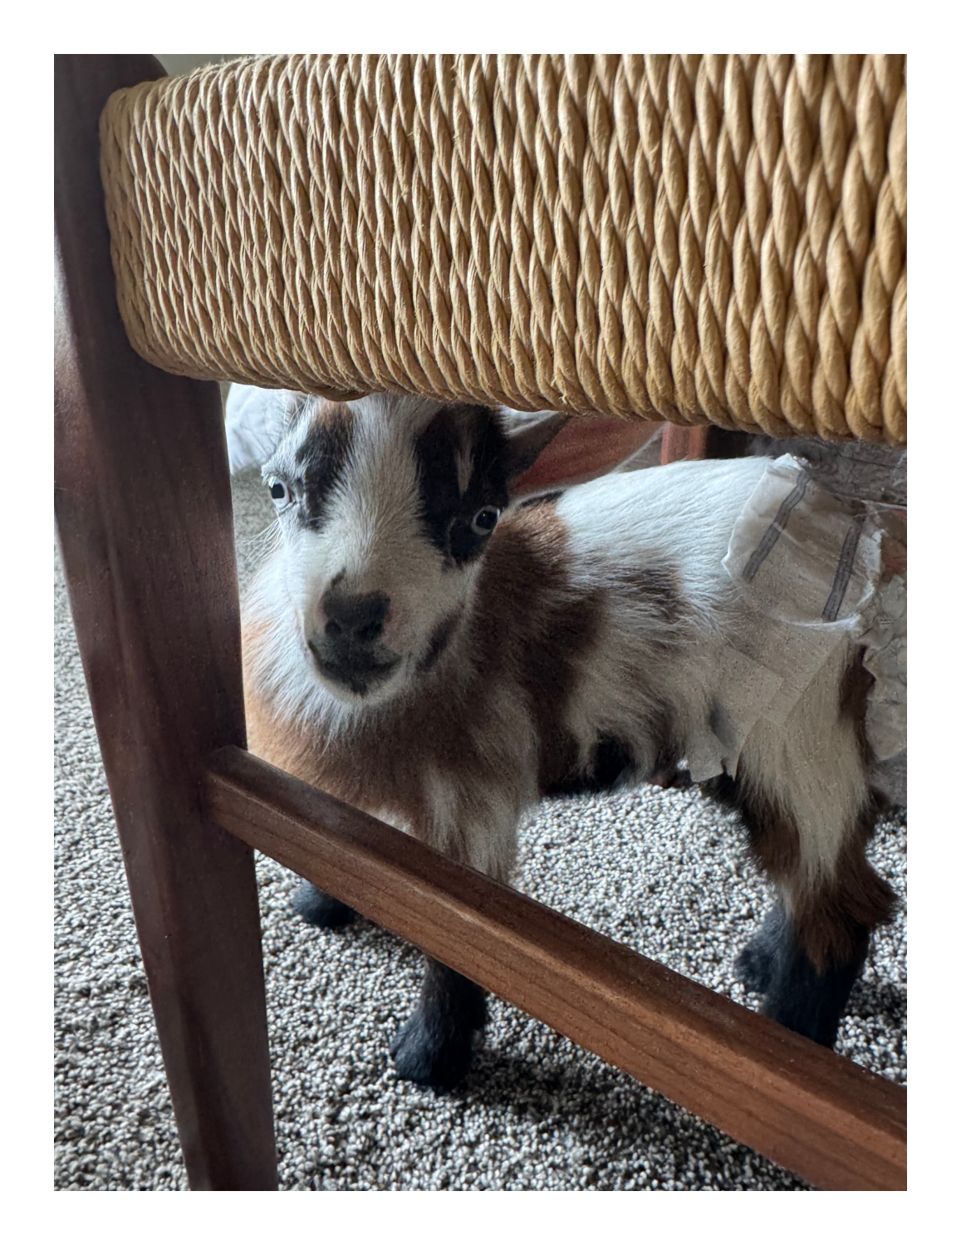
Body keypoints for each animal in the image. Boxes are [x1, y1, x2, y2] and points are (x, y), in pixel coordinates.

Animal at [241, 390, 897, 1089]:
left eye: (482, 517)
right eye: (279, 488)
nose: (352, 619)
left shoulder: (474, 797)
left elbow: (458, 934)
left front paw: (428, 1057)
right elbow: (344, 831)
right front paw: (320, 902)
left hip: (796, 734)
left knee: (840, 912)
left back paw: (789, 1051)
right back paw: (761, 963)